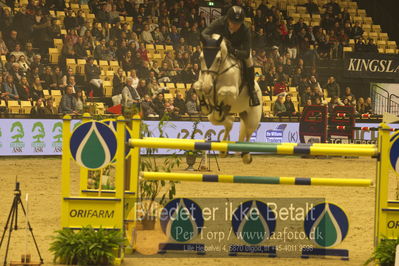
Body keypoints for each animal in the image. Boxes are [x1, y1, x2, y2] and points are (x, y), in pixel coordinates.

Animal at [193, 34, 262, 163]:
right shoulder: (203, 83)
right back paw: (223, 150)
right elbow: (197, 86)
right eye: (200, 58)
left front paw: (218, 107)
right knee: (228, 124)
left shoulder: (232, 91)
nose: (207, 87)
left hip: (253, 118)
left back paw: (246, 156)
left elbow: (222, 92)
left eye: (218, 59)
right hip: (221, 118)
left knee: (248, 132)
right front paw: (205, 105)